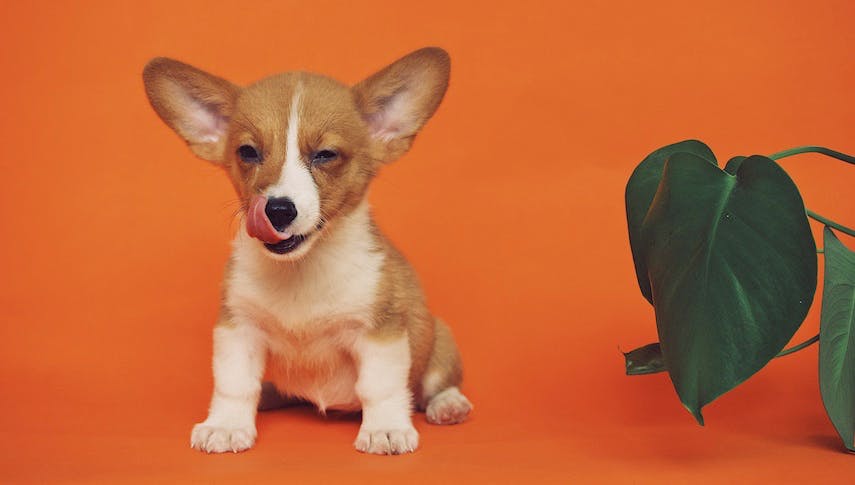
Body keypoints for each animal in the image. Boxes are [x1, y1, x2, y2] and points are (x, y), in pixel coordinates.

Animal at [143, 46, 472, 454]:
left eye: (326, 155)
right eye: (248, 152)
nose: (278, 210)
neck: (301, 269)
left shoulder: (380, 332)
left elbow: (379, 387)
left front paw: (385, 429)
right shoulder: (238, 328)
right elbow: (235, 385)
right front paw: (227, 425)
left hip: (439, 339)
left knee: (435, 382)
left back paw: (448, 404)